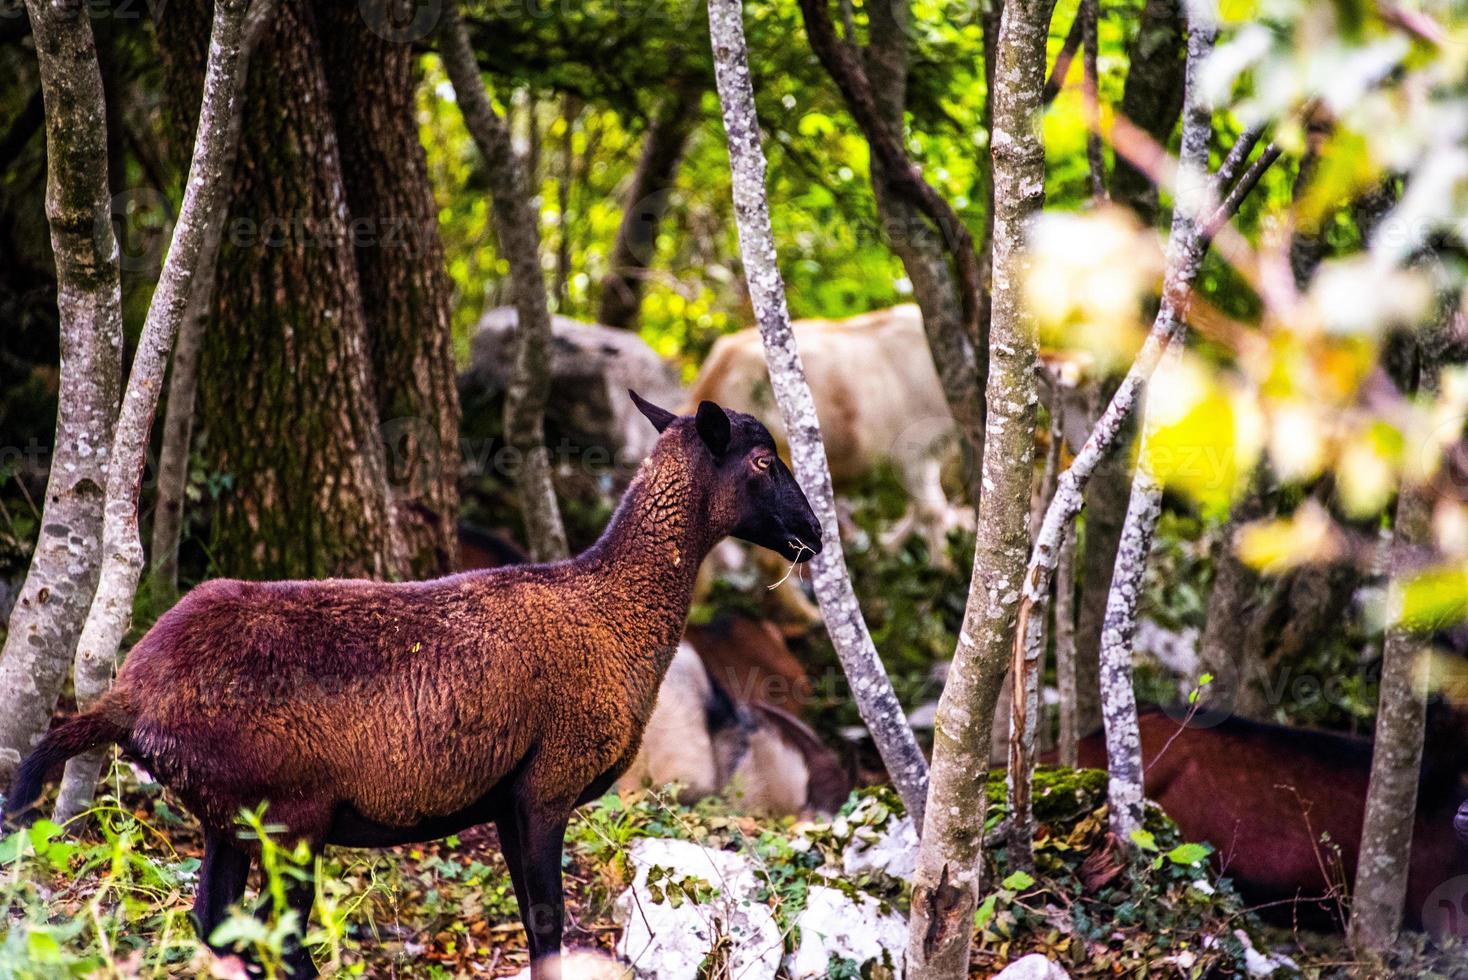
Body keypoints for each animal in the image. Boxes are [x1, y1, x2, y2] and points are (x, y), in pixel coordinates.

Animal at [5, 393, 822, 974]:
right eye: (761, 461)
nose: (812, 535)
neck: (610, 608)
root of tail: (131, 692)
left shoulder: (507, 799)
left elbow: (537, 926)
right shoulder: (548, 786)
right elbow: (549, 927)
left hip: (225, 815)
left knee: (219, 928)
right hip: (290, 813)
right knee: (278, 938)